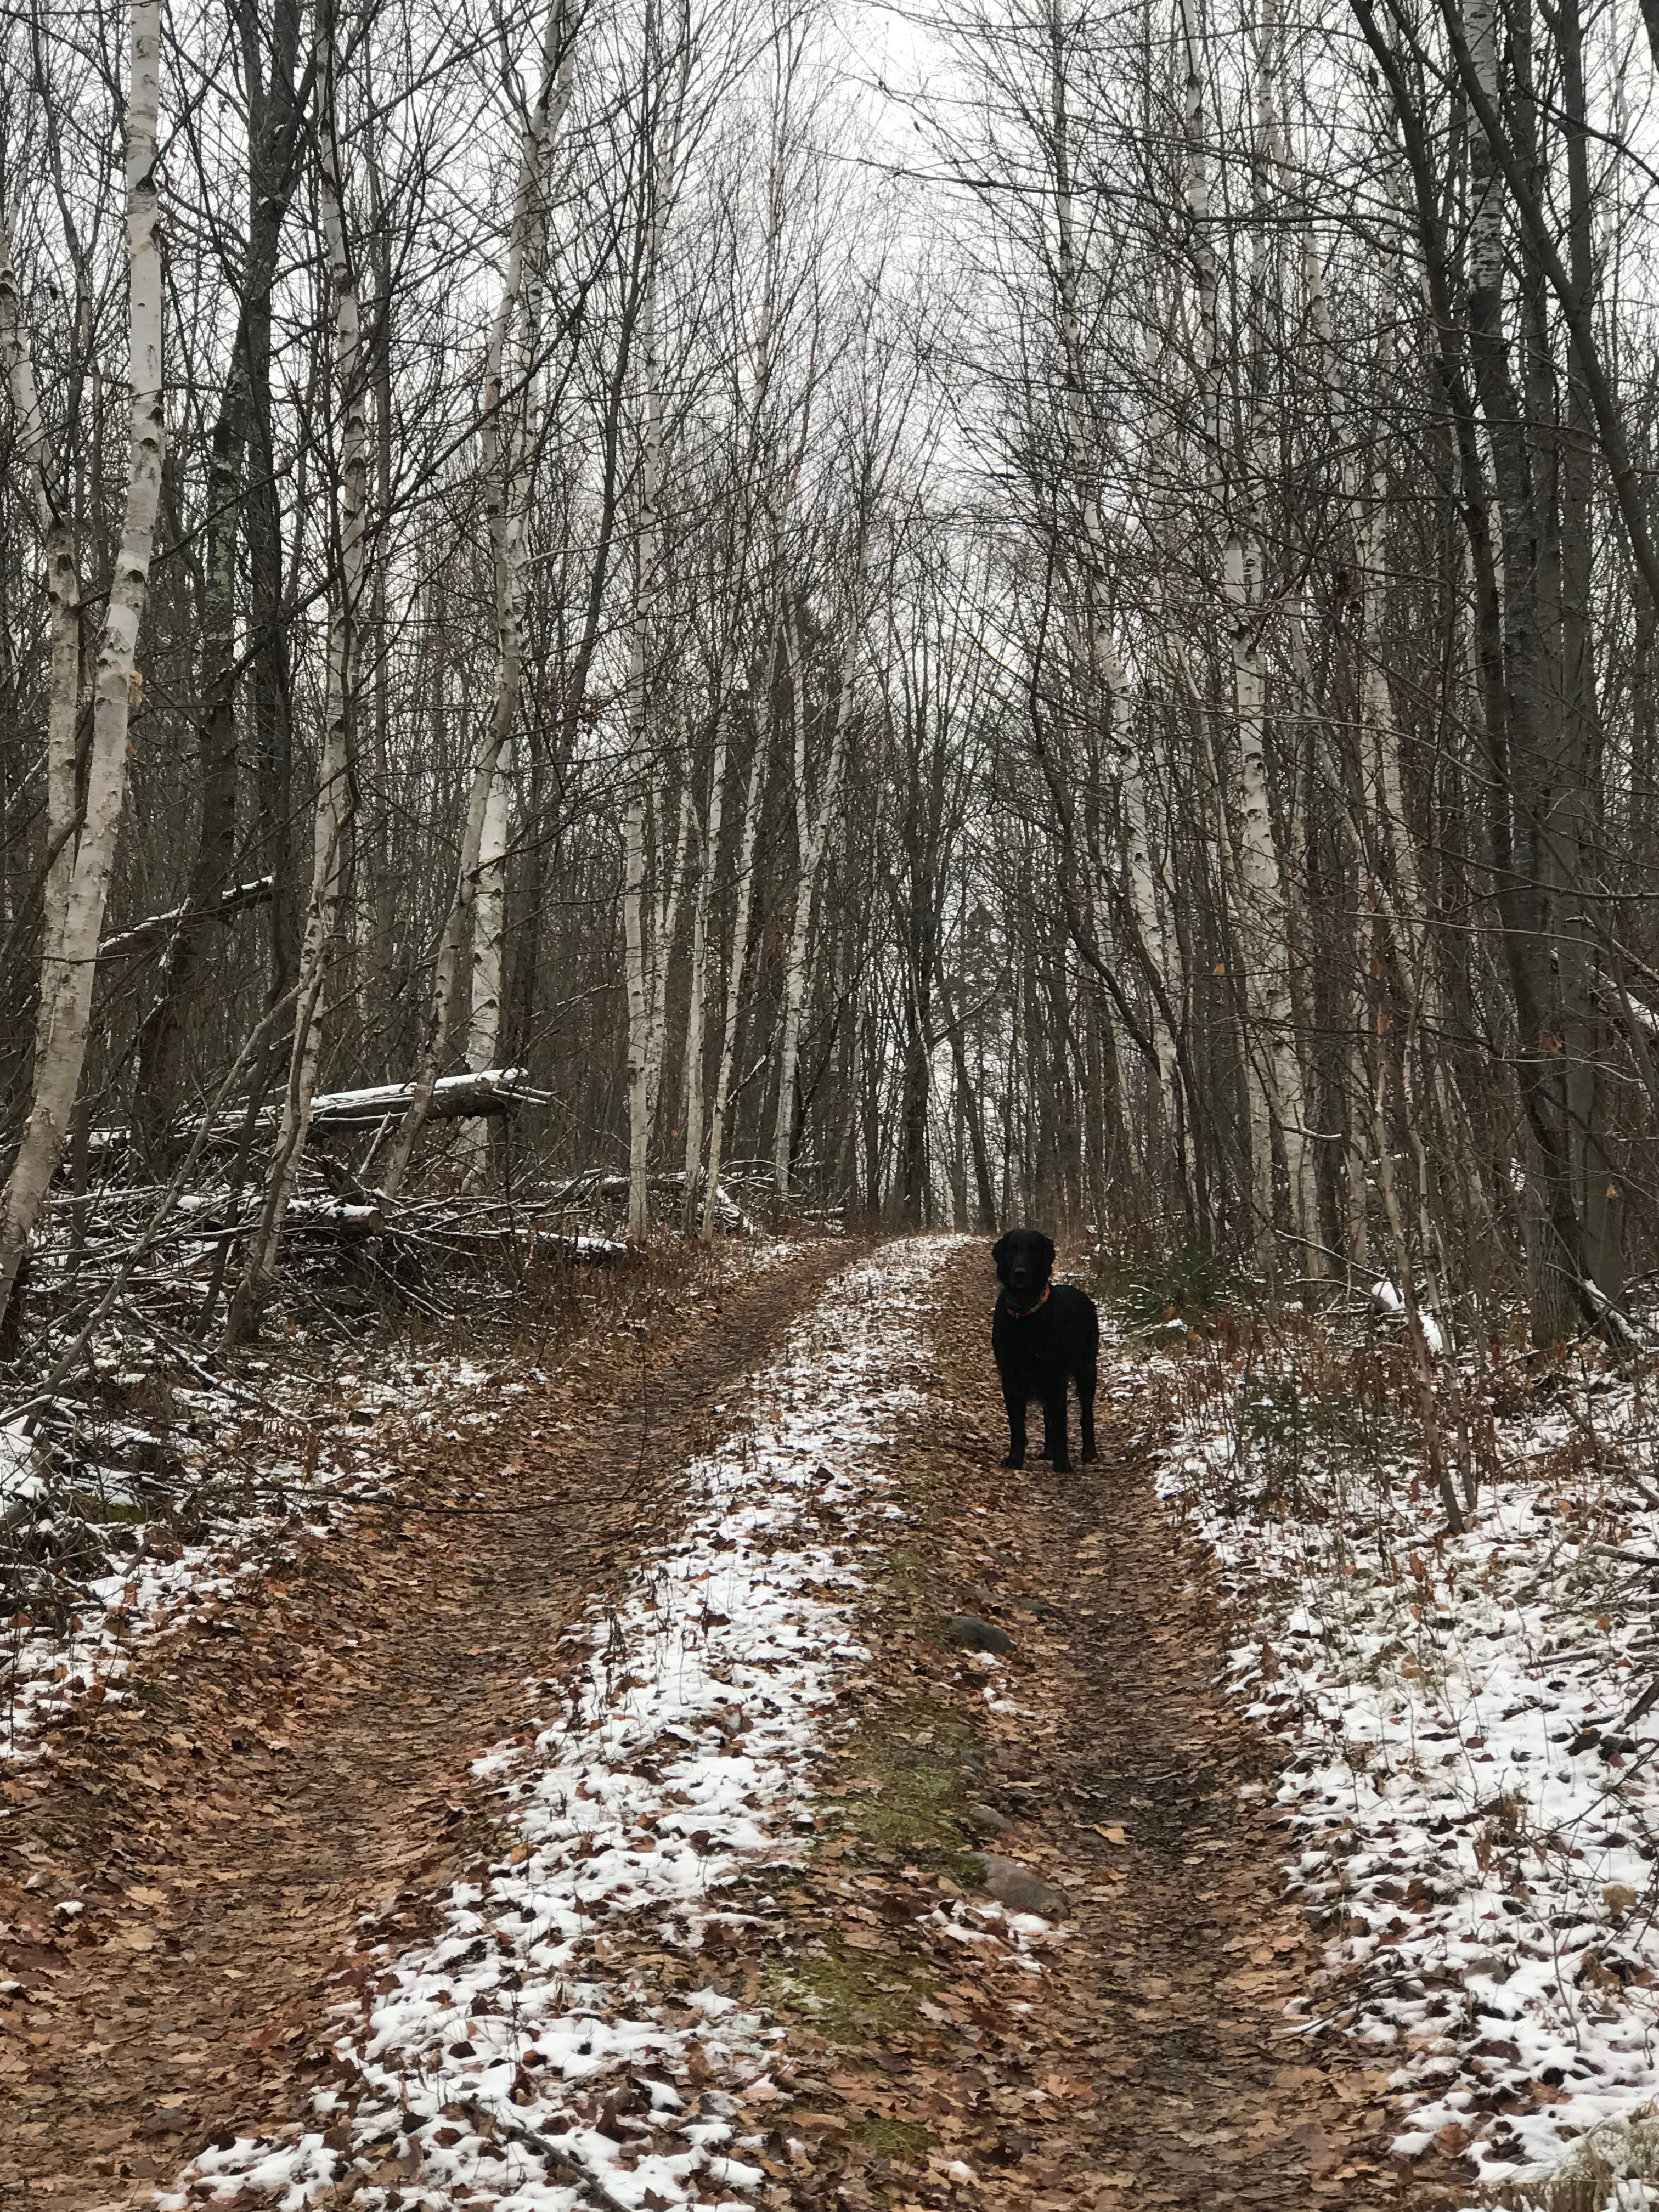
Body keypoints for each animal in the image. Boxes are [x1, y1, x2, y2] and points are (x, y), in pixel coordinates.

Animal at [995, 1229, 1097, 1469]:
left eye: (1033, 1250)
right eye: (1012, 1249)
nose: (1020, 1273)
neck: (1025, 1314)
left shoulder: (1055, 1375)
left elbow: (1060, 1423)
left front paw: (1062, 1463)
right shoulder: (1011, 1377)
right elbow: (1017, 1426)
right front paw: (1015, 1459)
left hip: (1087, 1371)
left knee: (1086, 1414)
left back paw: (1089, 1452)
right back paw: (1048, 1450)